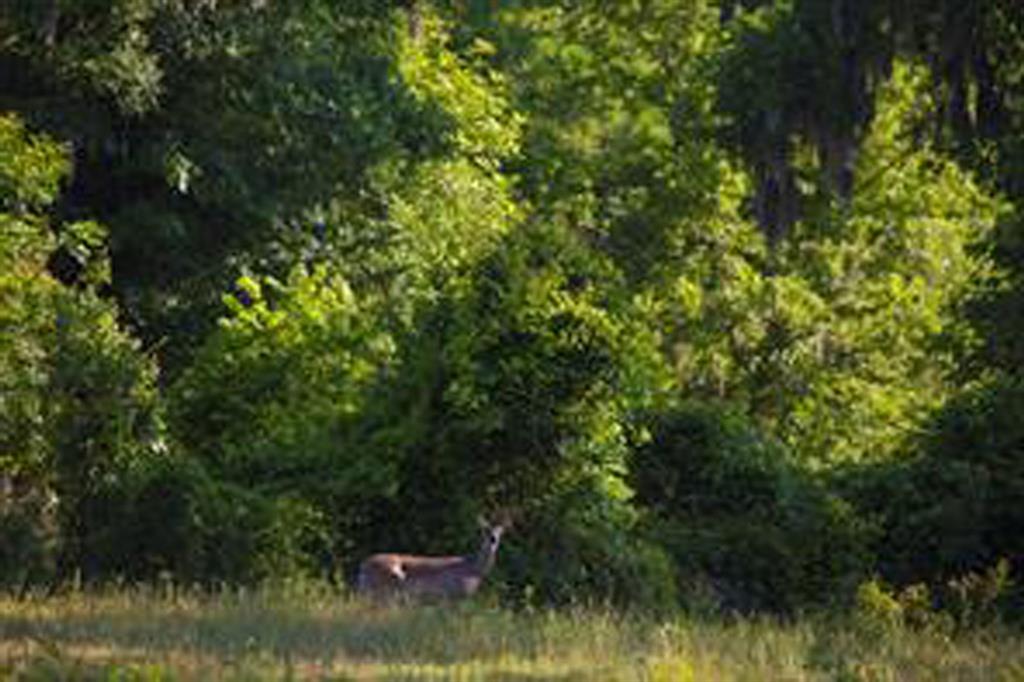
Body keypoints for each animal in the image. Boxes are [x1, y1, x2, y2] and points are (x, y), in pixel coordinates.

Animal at [356, 516, 507, 602]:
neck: (474, 570)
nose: (493, 539)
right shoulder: (454, 596)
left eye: (500, 532)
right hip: (391, 578)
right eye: (484, 530)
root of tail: (363, 567)